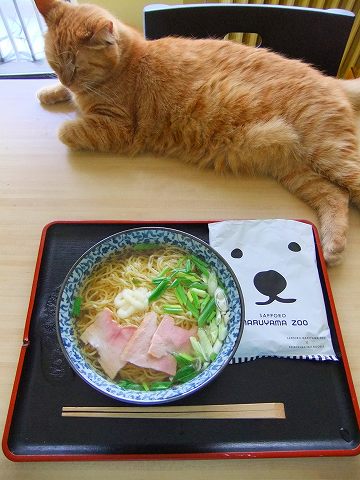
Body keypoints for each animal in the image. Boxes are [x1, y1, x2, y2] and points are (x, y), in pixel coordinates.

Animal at [34, 0, 360, 264]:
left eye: (78, 68)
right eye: (54, 64)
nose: (67, 79)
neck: (130, 61)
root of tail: (330, 80)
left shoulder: (120, 128)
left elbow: (68, 131)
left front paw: (66, 114)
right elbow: (63, 96)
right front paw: (51, 92)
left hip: (330, 152)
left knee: (348, 188)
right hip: (293, 169)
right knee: (334, 196)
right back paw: (332, 246)